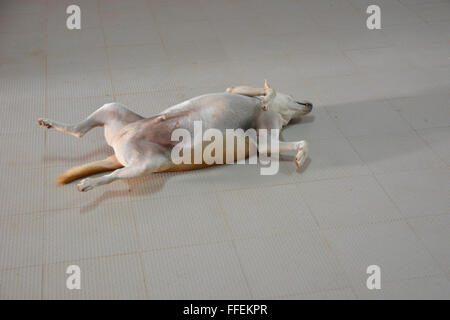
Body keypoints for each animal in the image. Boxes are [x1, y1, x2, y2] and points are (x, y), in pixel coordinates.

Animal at [37, 81, 312, 191]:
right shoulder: (236, 90)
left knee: (106, 165)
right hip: (116, 113)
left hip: (145, 161)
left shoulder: (264, 139)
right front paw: (267, 95)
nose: (310, 104)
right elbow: (264, 91)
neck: (280, 113)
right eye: (293, 95)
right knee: (80, 131)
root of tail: (118, 147)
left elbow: (286, 143)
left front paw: (301, 155)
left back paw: (89, 182)